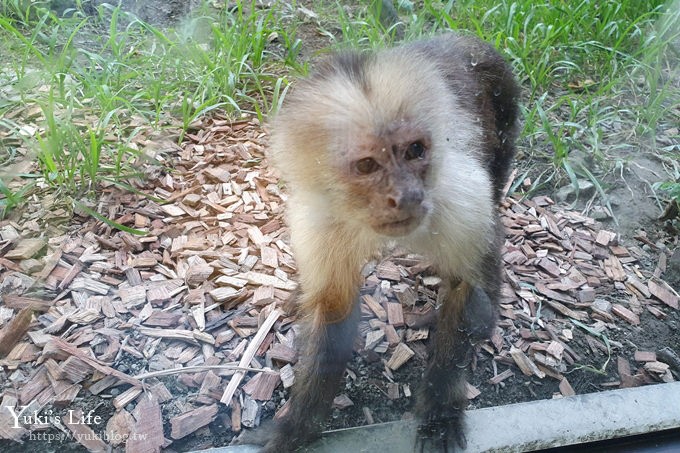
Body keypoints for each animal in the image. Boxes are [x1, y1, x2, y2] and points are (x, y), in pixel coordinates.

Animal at [231, 32, 516, 452]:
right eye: (368, 165)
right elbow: (333, 306)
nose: (407, 196)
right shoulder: (321, 218)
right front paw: (298, 425)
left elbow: (467, 293)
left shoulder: (459, 197)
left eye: (415, 151)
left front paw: (440, 412)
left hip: (504, 97)